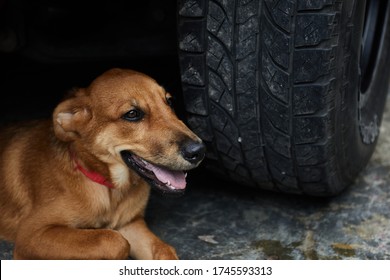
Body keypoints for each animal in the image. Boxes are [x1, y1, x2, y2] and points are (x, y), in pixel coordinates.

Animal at [0, 68, 206, 260]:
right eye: (132, 114)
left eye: (169, 102)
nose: (199, 151)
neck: (110, 191)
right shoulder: (32, 233)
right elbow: (113, 240)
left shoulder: (130, 223)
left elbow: (164, 250)